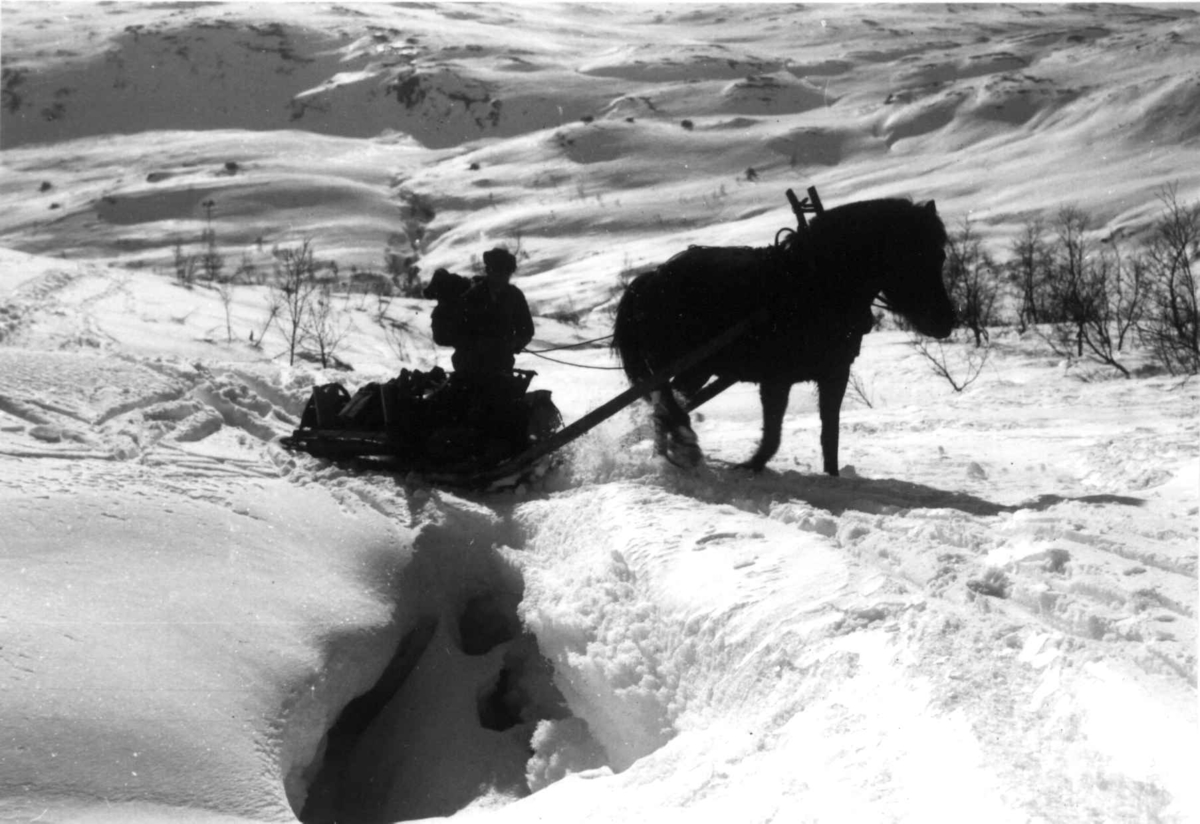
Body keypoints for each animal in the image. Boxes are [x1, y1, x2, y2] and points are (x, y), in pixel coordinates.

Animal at [614, 195, 950, 477]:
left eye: (941, 256)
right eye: (914, 255)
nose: (946, 321)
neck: (817, 282)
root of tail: (649, 280)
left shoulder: (834, 373)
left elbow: (830, 434)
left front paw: (832, 477)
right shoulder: (776, 379)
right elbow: (773, 432)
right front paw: (750, 466)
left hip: (697, 368)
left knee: (664, 405)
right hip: (679, 363)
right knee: (665, 400)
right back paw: (684, 445)